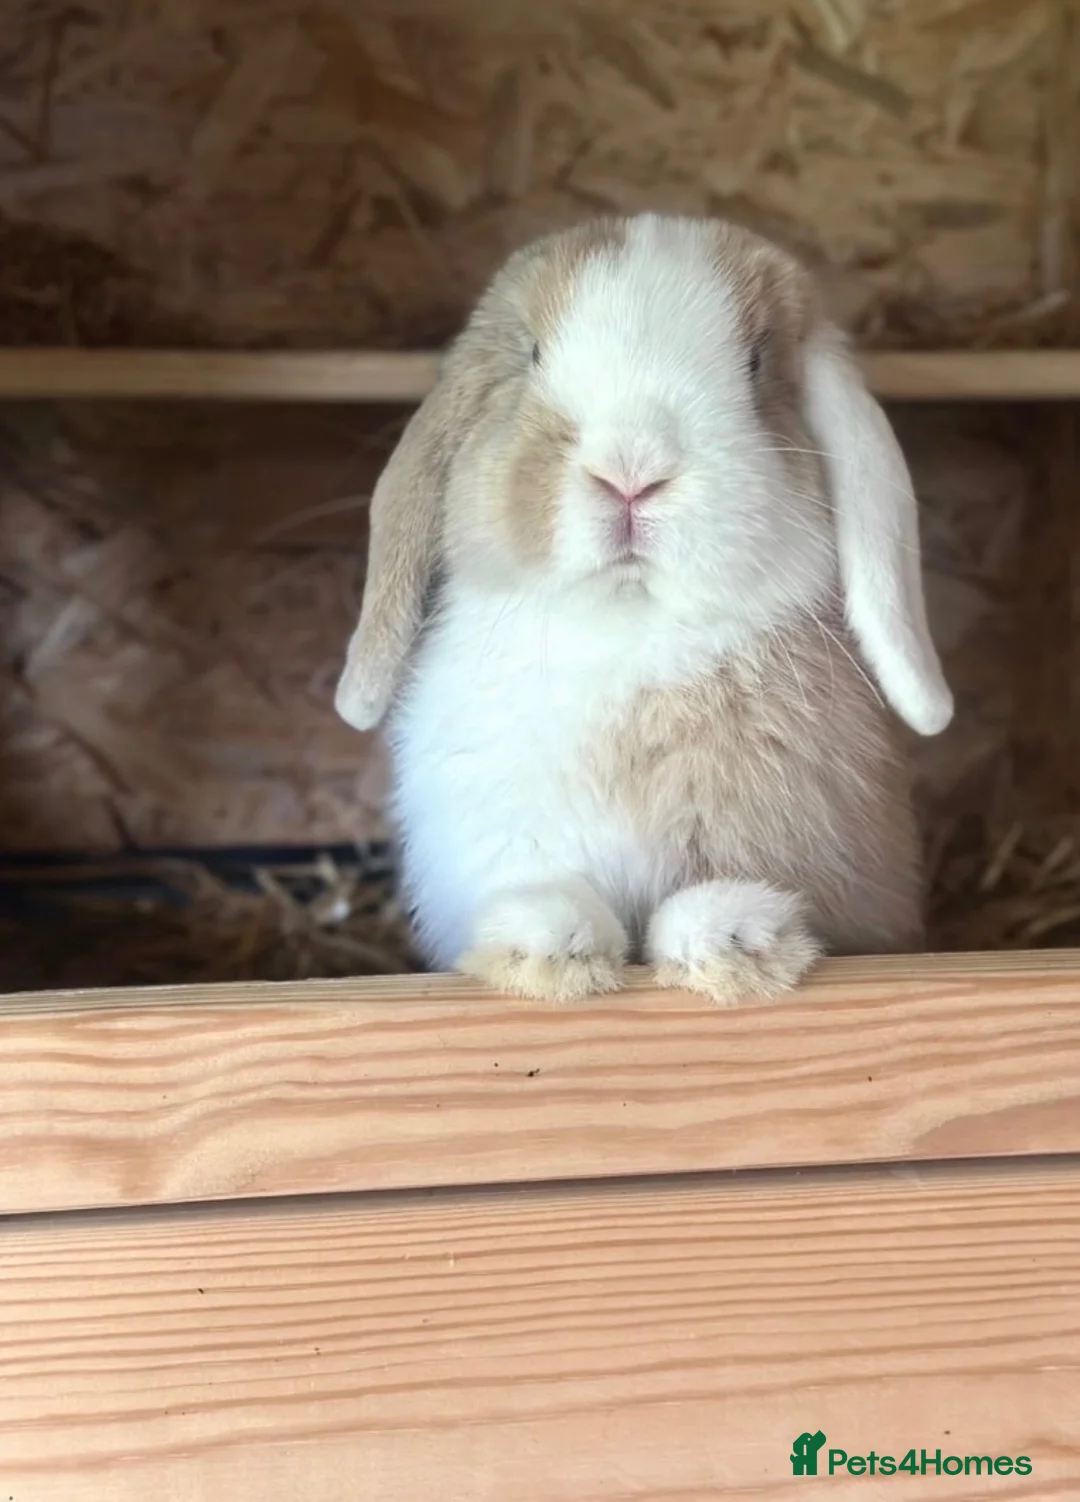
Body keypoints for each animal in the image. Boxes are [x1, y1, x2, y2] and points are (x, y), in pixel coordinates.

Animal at [335, 213, 953, 1004]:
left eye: (756, 363)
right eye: (531, 353)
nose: (631, 471)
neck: (626, 630)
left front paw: (731, 940)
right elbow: (551, 892)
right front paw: (549, 947)